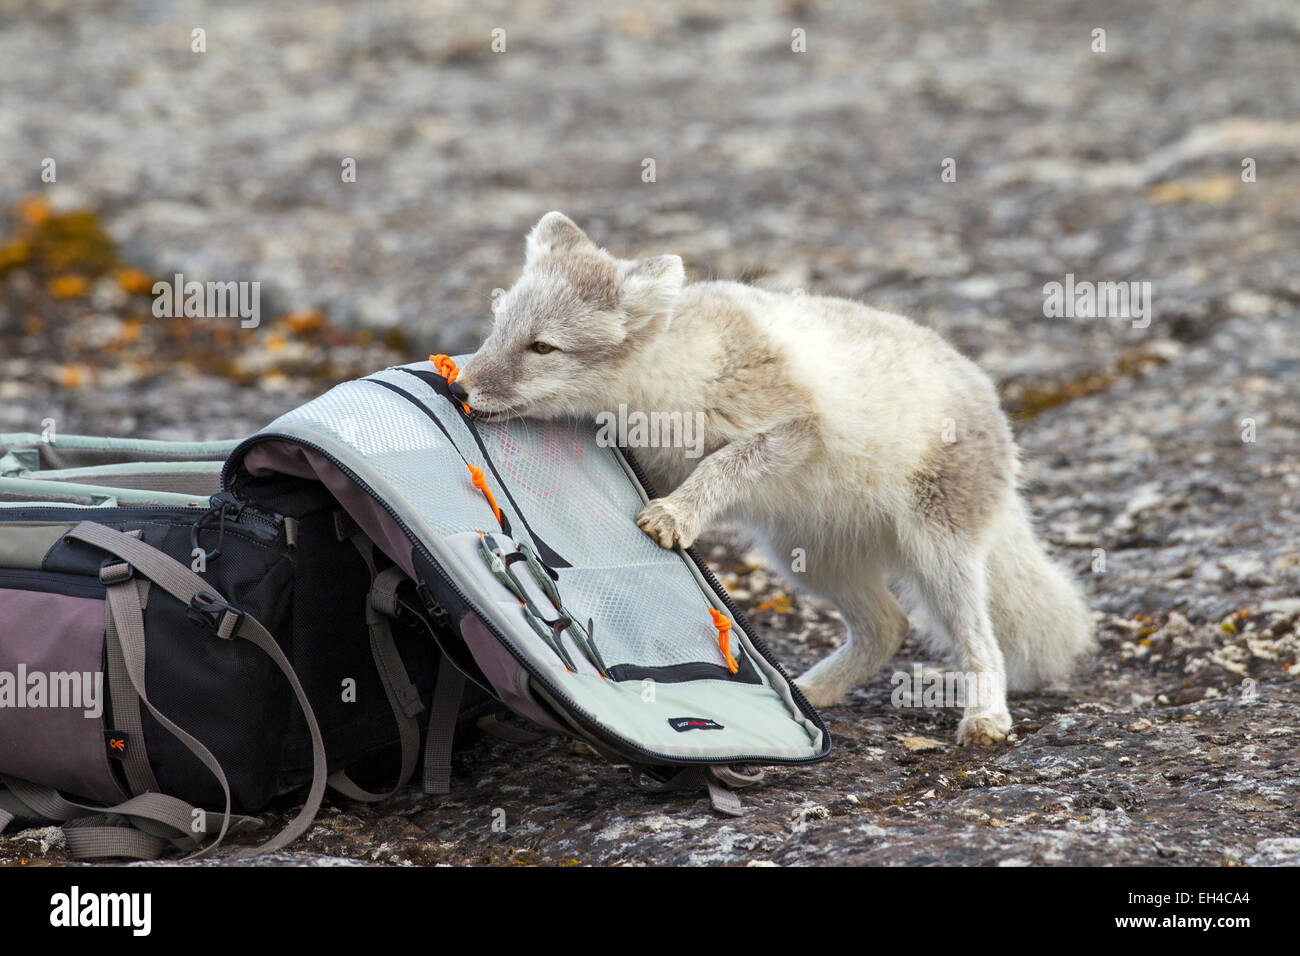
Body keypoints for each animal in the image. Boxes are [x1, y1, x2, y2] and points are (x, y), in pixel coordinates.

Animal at [452, 214, 1092, 749]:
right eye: (497, 328)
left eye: (542, 346)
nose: (459, 388)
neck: (660, 382)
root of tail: (993, 401)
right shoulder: (659, 462)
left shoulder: (792, 426)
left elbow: (722, 465)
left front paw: (673, 517)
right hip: (808, 556)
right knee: (888, 627)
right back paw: (811, 693)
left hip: (938, 551)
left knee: (979, 640)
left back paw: (986, 718)